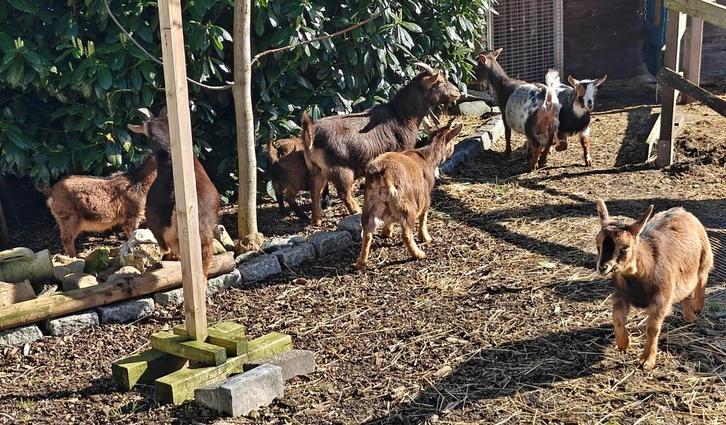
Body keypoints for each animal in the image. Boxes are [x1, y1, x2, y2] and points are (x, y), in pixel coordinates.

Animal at [302, 63, 461, 225]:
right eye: (439, 81)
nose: (457, 92)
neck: (400, 115)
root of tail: (311, 135)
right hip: (341, 170)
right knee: (343, 193)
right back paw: (356, 211)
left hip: (316, 170)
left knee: (315, 191)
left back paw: (317, 219)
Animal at [354, 118, 463, 270]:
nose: (452, 150)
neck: (425, 157)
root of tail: (384, 173)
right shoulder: (425, 196)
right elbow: (423, 216)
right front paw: (426, 238)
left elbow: (388, 220)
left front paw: (386, 233)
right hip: (406, 204)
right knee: (406, 232)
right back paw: (418, 254)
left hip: (369, 203)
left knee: (368, 231)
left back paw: (360, 262)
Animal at [595, 200, 713, 369]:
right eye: (598, 244)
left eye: (625, 247)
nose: (603, 267)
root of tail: (681, 210)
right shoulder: (621, 293)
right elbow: (617, 318)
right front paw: (623, 344)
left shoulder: (662, 296)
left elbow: (652, 327)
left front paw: (646, 360)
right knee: (686, 293)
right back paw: (688, 316)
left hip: (705, 256)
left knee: (702, 279)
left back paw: (697, 307)